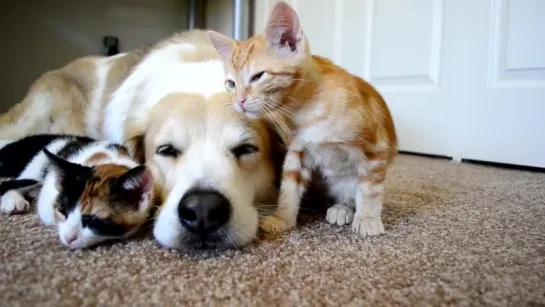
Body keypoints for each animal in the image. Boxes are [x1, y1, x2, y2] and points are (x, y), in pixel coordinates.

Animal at [206, 0, 398, 238]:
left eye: (258, 76)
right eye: (230, 84)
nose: (239, 101)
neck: (305, 110)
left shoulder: (375, 144)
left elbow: (370, 188)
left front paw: (369, 219)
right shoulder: (298, 149)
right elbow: (289, 185)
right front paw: (283, 218)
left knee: (355, 190)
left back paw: (344, 208)